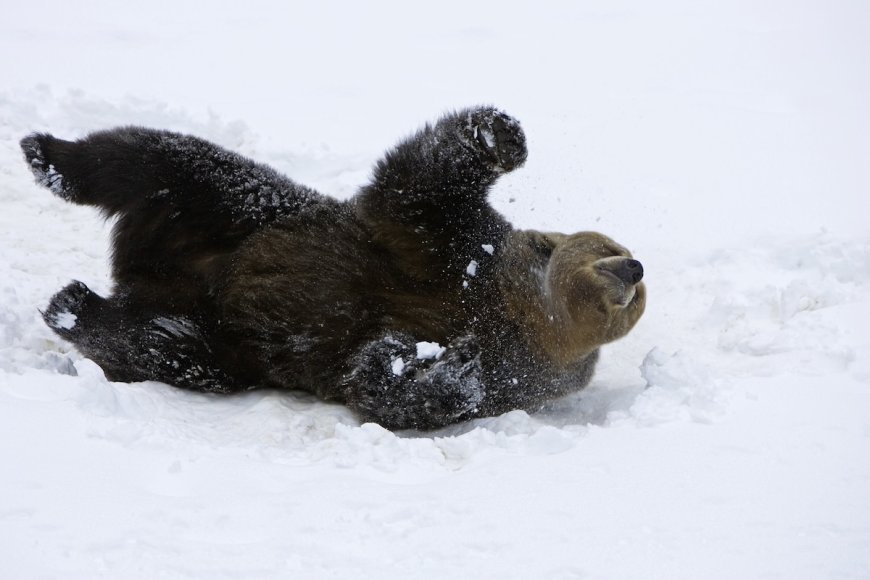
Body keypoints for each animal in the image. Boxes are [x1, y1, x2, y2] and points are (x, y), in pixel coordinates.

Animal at [21, 106, 646, 430]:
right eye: (605, 245)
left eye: (638, 302)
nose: (633, 267)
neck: (521, 312)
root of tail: (141, 268)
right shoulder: (461, 251)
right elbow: (418, 190)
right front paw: (500, 135)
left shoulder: (521, 370)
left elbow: (402, 387)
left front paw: (427, 361)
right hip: (239, 209)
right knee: (150, 157)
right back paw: (45, 152)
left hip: (220, 340)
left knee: (159, 344)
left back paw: (74, 306)